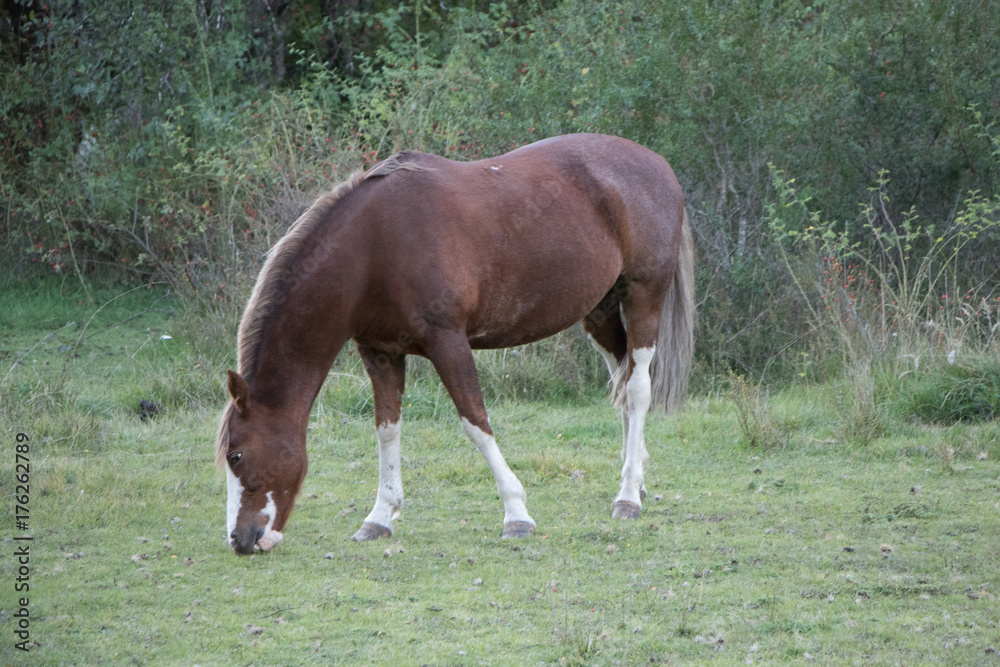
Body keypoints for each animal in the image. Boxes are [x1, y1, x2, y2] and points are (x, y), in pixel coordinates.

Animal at [215, 133, 694, 555]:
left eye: (236, 455)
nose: (241, 540)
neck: (373, 248)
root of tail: (659, 165)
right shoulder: (380, 352)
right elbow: (387, 430)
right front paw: (379, 517)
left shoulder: (447, 343)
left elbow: (475, 422)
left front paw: (516, 513)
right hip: (598, 309)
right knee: (623, 381)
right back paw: (637, 476)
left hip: (643, 296)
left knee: (638, 388)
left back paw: (627, 495)